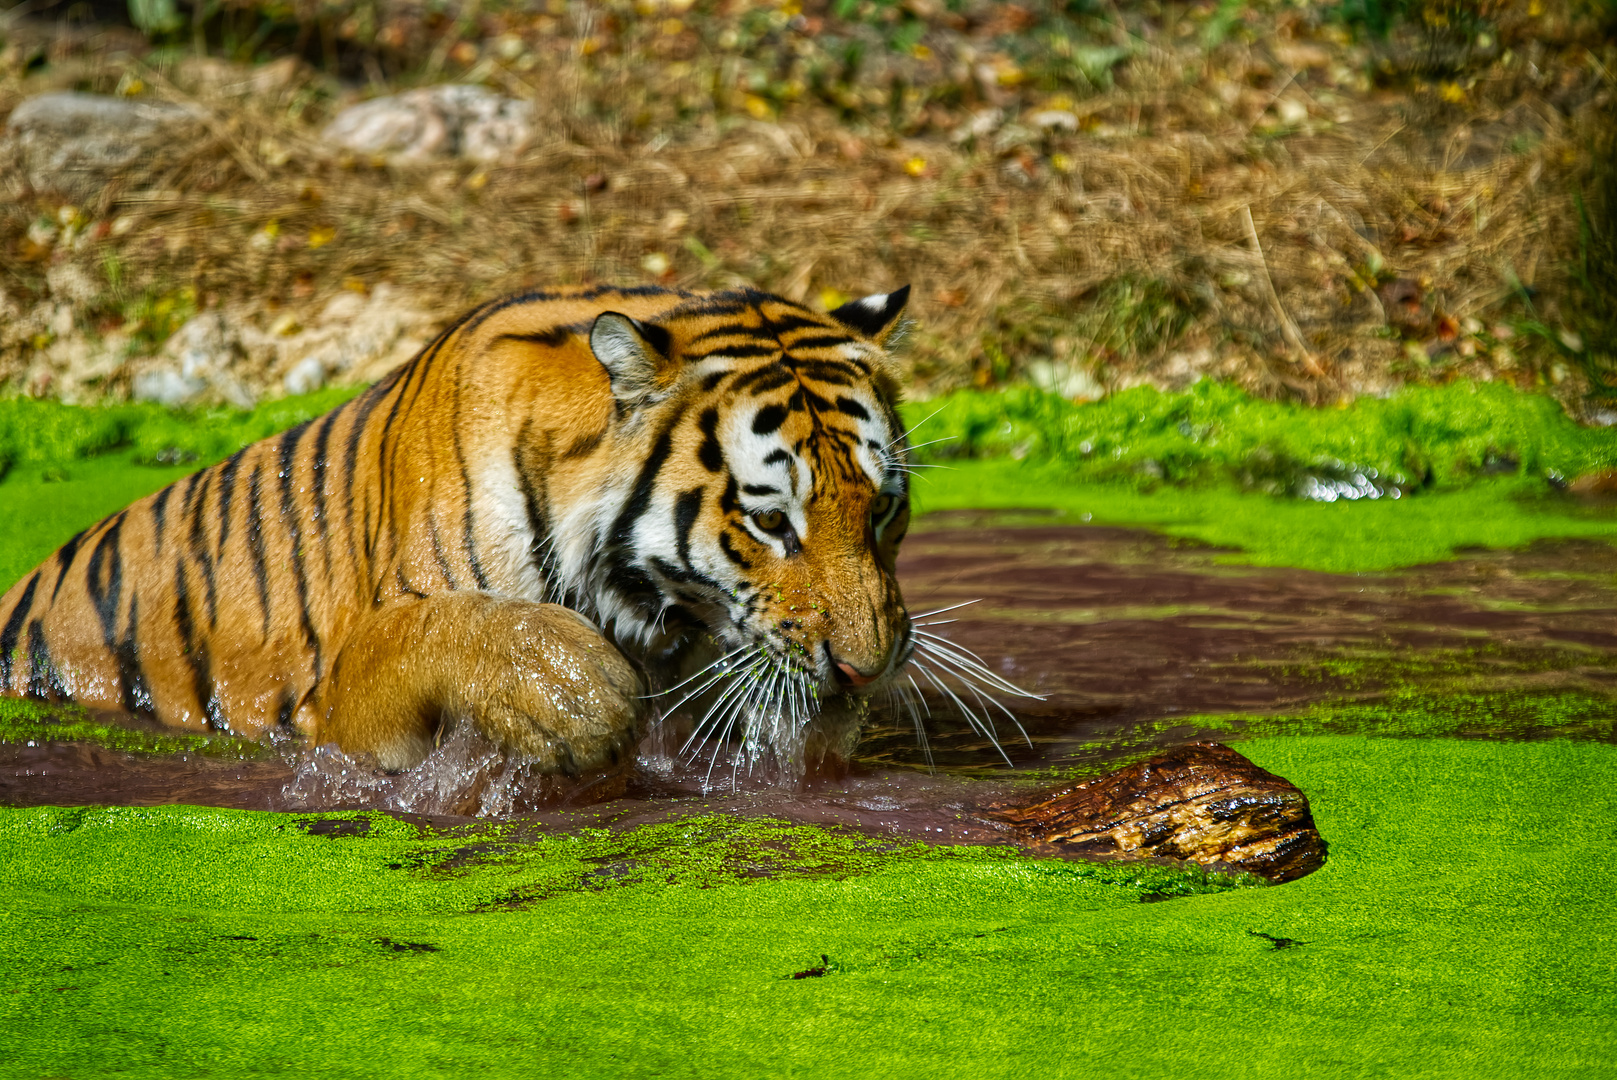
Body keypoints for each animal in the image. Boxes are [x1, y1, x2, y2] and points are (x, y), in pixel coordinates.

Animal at [0, 282, 924, 779]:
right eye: (769, 522)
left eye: (881, 510)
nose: (866, 668)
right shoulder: (337, 701)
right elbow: (447, 627)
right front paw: (569, 693)